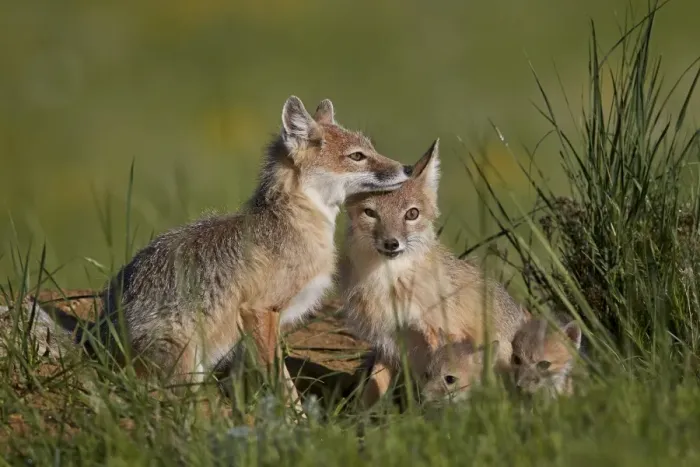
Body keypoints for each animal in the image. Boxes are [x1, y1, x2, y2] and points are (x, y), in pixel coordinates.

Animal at [82, 95, 410, 409]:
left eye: (370, 149)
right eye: (357, 156)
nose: (406, 168)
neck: (293, 222)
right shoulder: (259, 310)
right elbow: (282, 383)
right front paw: (297, 421)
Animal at [338, 140, 531, 408]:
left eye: (412, 214)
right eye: (370, 213)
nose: (391, 243)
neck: (389, 283)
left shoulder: (440, 334)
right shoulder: (386, 342)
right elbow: (372, 391)